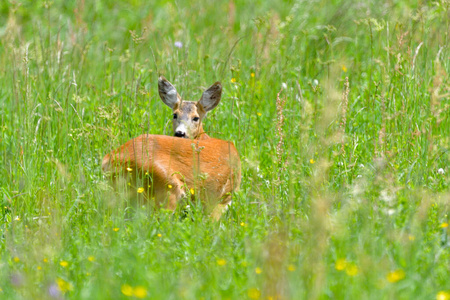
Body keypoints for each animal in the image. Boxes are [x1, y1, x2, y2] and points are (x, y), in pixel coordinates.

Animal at [101, 76, 241, 219]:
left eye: (196, 118)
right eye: (175, 115)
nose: (180, 133)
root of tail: (111, 159)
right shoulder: (220, 199)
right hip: (167, 187)